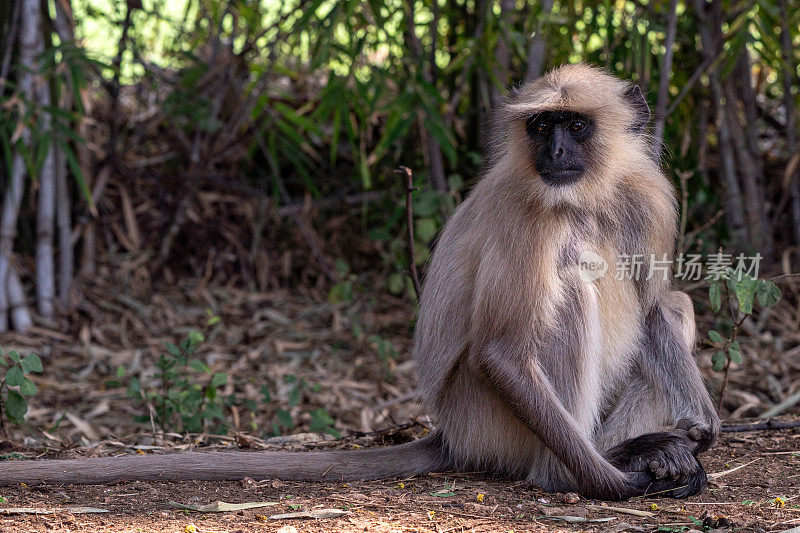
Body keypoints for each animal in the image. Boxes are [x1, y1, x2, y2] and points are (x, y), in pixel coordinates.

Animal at [0, 63, 720, 498]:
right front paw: (618, 484)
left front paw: (700, 429)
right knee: (564, 298)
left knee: (674, 305)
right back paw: (578, 471)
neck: (582, 198)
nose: (556, 151)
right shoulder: (528, 214)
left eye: (574, 125)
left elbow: (654, 307)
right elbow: (501, 351)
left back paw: (644, 447)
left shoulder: (648, 198)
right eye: (543, 126)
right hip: (492, 421)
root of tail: (450, 430)